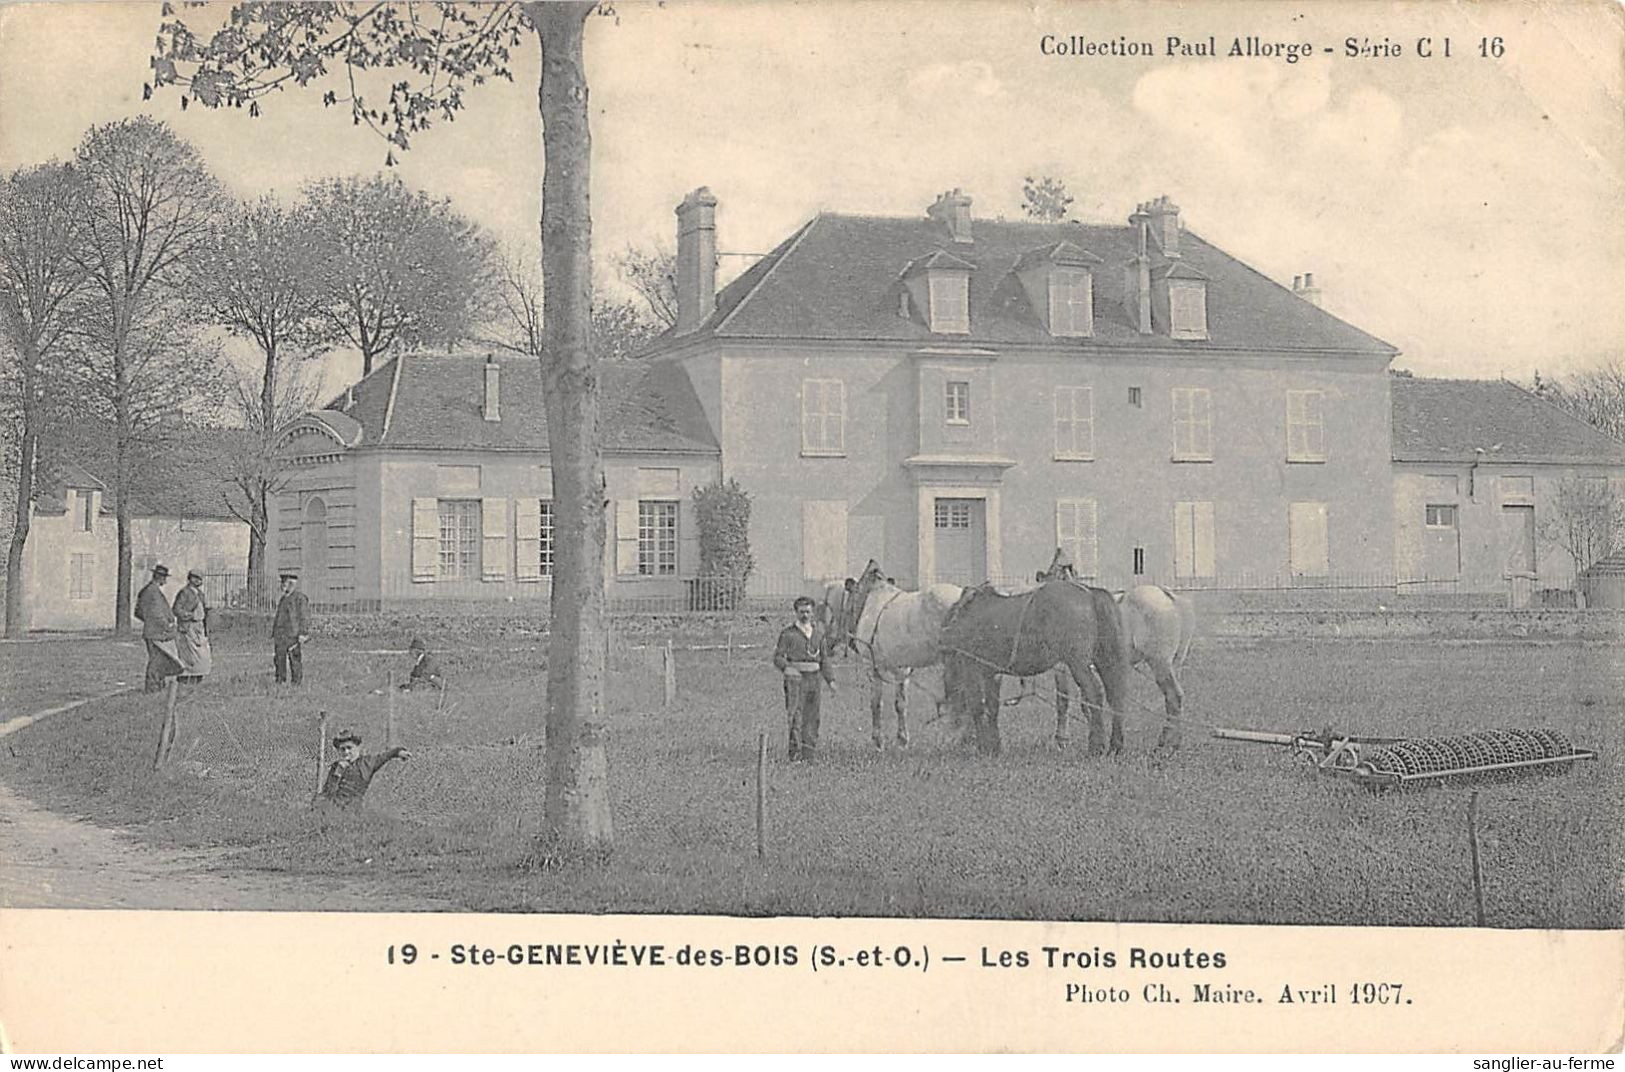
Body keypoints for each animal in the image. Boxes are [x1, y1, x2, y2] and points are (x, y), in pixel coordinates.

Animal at [838, 561, 962, 753]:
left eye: (850, 598)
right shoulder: (902, 668)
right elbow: (901, 704)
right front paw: (902, 740)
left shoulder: (873, 666)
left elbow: (877, 703)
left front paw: (879, 740)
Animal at [942, 578, 1131, 753]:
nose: (952, 739)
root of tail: (1090, 593)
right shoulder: (992, 672)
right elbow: (992, 706)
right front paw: (994, 746)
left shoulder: (971, 666)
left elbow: (977, 705)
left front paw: (985, 746)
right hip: (1104, 660)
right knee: (1115, 695)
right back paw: (1116, 745)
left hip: (1078, 663)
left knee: (1094, 693)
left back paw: (1096, 746)